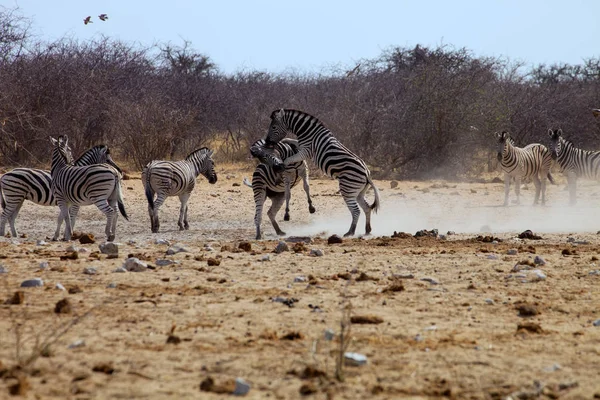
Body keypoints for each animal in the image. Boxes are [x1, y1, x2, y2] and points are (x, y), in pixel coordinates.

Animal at [264, 108, 380, 236]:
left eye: (274, 127)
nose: (267, 142)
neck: (308, 131)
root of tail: (367, 174)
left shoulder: (306, 151)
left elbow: (288, 159)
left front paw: (281, 167)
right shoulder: (302, 146)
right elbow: (290, 140)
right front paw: (284, 142)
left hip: (348, 188)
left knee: (356, 211)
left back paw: (350, 232)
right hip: (359, 192)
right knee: (367, 208)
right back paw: (367, 230)